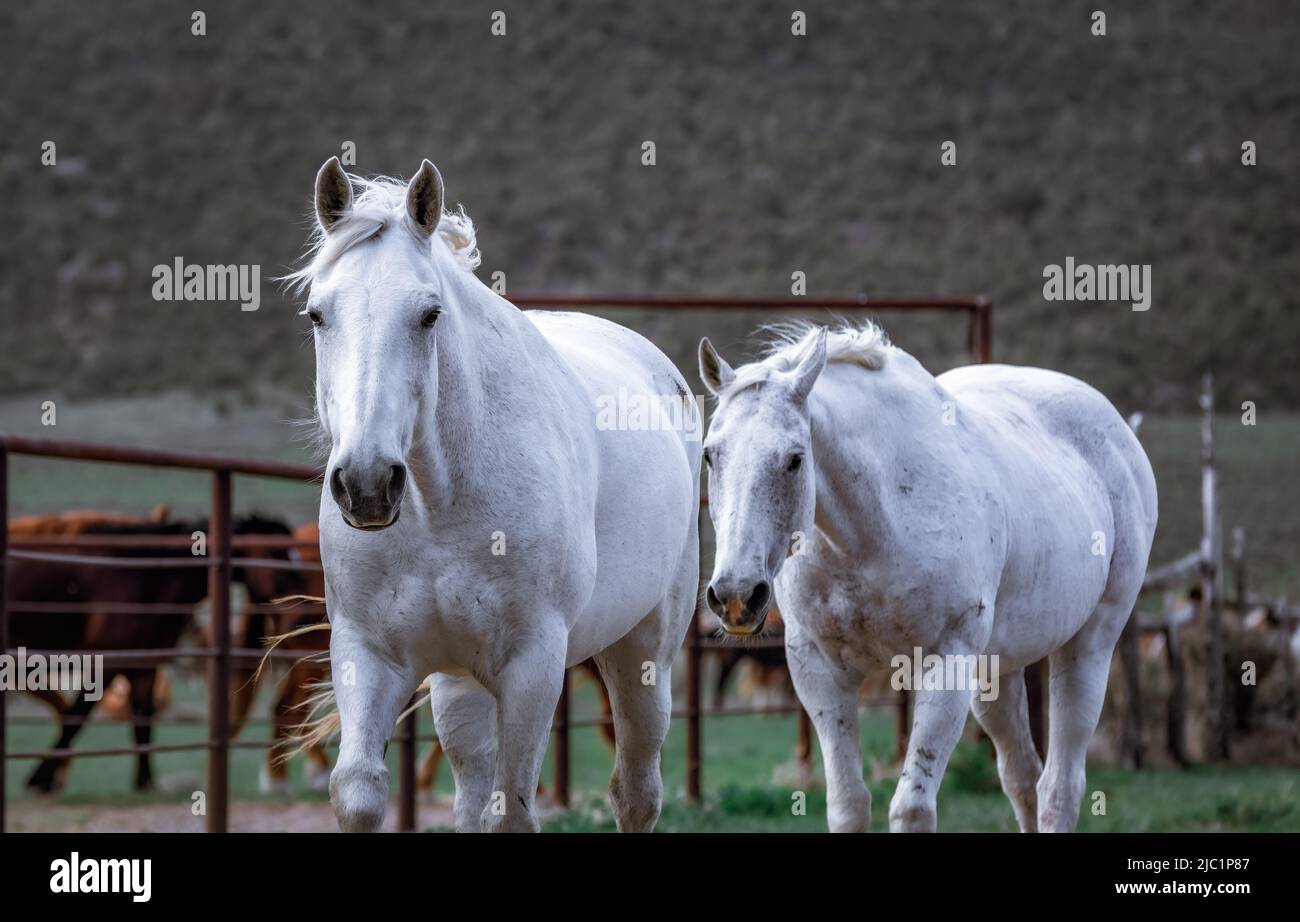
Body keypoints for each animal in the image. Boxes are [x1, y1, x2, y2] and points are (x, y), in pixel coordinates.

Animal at [9, 513, 304, 792]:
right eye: (276, 555)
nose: (302, 614)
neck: (147, 578)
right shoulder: (108, 663)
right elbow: (77, 716)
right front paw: (39, 778)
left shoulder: (144, 666)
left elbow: (143, 721)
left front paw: (145, 783)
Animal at [286, 157, 700, 832]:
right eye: (318, 315)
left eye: (429, 315)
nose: (367, 484)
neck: (438, 505)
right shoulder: (367, 652)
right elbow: (358, 792)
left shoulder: (532, 666)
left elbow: (512, 813)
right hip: (461, 686)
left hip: (643, 653)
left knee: (636, 789)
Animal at [697, 321, 1157, 832]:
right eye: (710, 456)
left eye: (795, 458)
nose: (736, 596)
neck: (871, 530)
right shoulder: (819, 670)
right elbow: (848, 803)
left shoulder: (947, 661)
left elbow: (911, 807)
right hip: (996, 671)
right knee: (1021, 777)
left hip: (1089, 646)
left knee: (1060, 787)